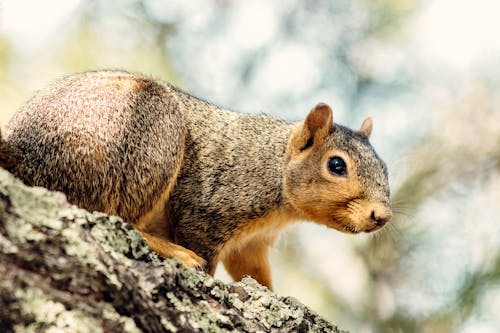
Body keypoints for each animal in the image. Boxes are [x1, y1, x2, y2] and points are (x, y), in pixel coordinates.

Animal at [0, 70, 390, 290]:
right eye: (336, 165)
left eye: (385, 168)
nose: (382, 216)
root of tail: (25, 153)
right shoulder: (208, 211)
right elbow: (202, 244)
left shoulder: (252, 243)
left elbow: (253, 273)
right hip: (148, 134)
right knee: (115, 216)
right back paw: (172, 252)